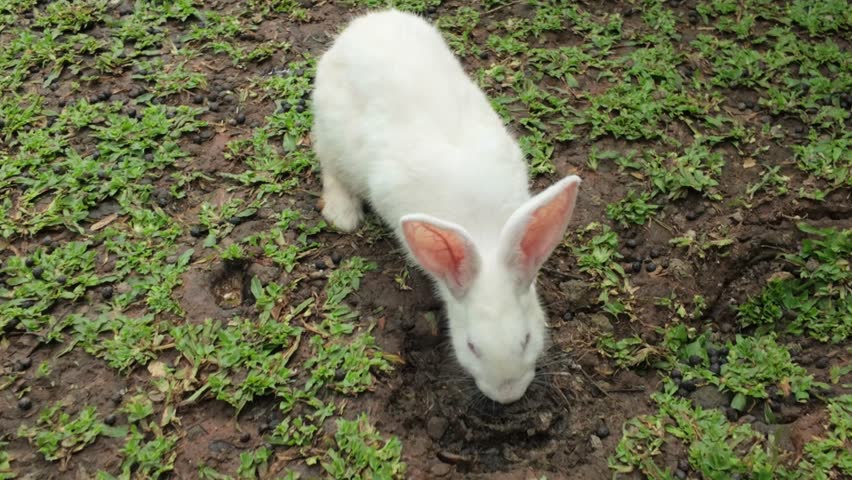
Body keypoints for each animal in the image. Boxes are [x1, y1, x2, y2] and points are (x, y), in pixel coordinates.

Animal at [312, 9, 581, 404]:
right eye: (471, 347)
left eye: (527, 339)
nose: (508, 395)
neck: (484, 235)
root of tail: (363, 25)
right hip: (333, 138)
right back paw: (343, 214)